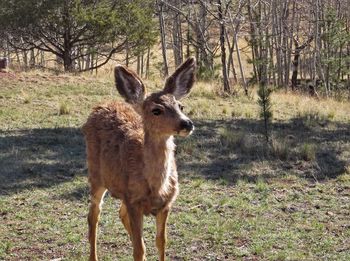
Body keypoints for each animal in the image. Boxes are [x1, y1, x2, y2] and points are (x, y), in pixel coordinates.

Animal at [82, 57, 197, 260]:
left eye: (180, 106)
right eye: (156, 110)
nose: (187, 123)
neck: (155, 187)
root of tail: (101, 105)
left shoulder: (165, 204)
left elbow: (161, 242)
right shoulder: (133, 201)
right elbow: (138, 248)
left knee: (120, 214)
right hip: (95, 176)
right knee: (93, 215)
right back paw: (93, 256)